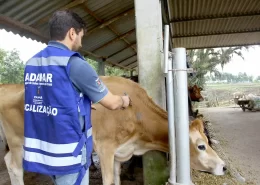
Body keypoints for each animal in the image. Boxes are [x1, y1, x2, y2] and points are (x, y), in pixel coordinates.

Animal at [0, 76, 225, 185]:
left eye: (208, 141)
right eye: (201, 146)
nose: (224, 167)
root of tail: (8, 86)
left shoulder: (119, 152)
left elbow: (117, 179)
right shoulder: (105, 149)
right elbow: (108, 181)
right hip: (17, 141)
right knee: (14, 165)